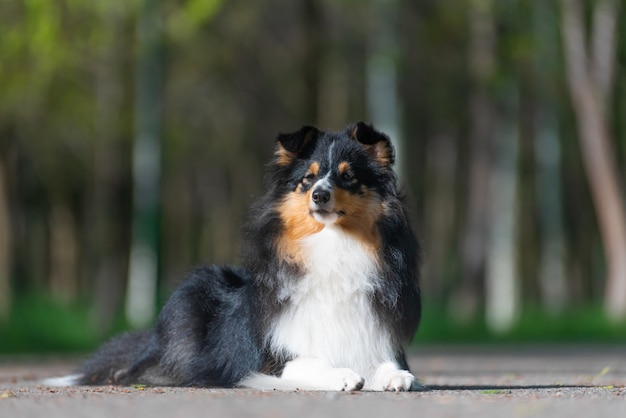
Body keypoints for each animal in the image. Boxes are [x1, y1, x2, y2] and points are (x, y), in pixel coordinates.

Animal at [46, 121, 420, 392]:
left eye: (348, 176)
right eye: (307, 178)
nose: (320, 195)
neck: (334, 246)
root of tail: (152, 341)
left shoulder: (378, 335)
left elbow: (389, 363)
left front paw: (395, 376)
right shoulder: (270, 358)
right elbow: (308, 361)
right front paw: (343, 374)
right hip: (194, 291)